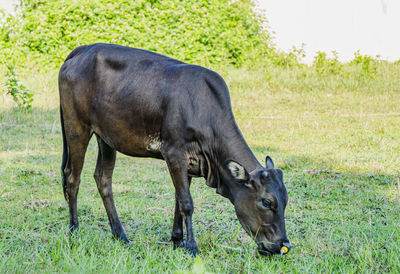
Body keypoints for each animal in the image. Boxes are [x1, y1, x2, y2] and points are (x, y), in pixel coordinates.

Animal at [58, 42, 290, 255]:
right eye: (267, 202)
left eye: (286, 200)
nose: (283, 245)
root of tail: (82, 49)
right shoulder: (173, 151)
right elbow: (186, 202)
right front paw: (192, 247)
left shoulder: (190, 162)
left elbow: (179, 199)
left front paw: (177, 240)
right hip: (77, 127)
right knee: (72, 178)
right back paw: (74, 230)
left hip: (106, 138)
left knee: (103, 179)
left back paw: (120, 235)